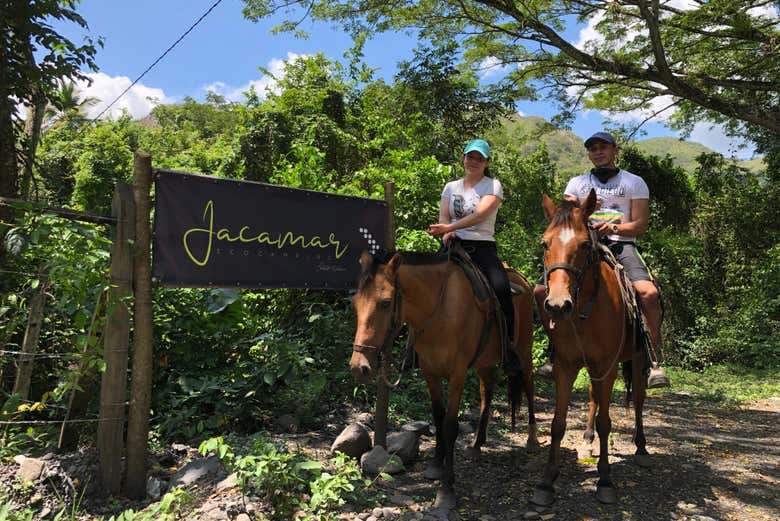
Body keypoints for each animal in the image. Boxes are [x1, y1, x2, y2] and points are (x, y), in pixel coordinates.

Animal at [352, 248, 540, 508]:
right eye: (355, 303)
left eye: (385, 302)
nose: (359, 367)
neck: (438, 311)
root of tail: (522, 279)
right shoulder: (430, 371)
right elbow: (438, 417)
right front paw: (435, 465)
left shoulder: (457, 373)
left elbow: (450, 425)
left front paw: (446, 488)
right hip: (484, 361)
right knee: (487, 391)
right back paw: (477, 444)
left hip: (524, 349)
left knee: (529, 385)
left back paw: (532, 439)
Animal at [532, 191, 656, 504]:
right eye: (545, 243)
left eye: (585, 244)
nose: (558, 305)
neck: (584, 310)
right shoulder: (566, 366)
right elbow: (558, 423)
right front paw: (546, 482)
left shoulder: (607, 367)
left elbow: (605, 422)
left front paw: (605, 480)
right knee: (593, 398)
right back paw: (588, 441)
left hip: (637, 360)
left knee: (638, 400)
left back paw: (641, 447)